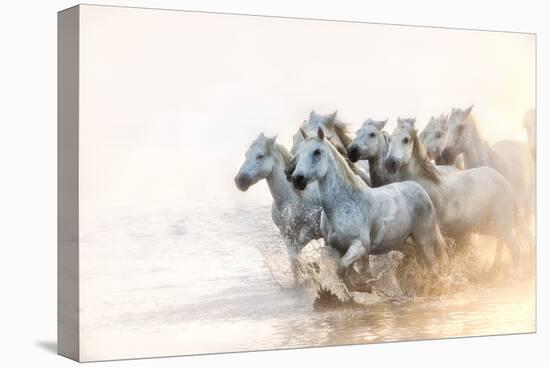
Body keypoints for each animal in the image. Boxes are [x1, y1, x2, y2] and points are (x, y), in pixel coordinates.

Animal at [388, 119, 520, 268]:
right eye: (390, 139)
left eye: (406, 139)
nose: (390, 163)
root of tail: (505, 182)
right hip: (486, 226)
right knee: (501, 240)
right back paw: (494, 268)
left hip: (502, 223)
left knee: (515, 249)